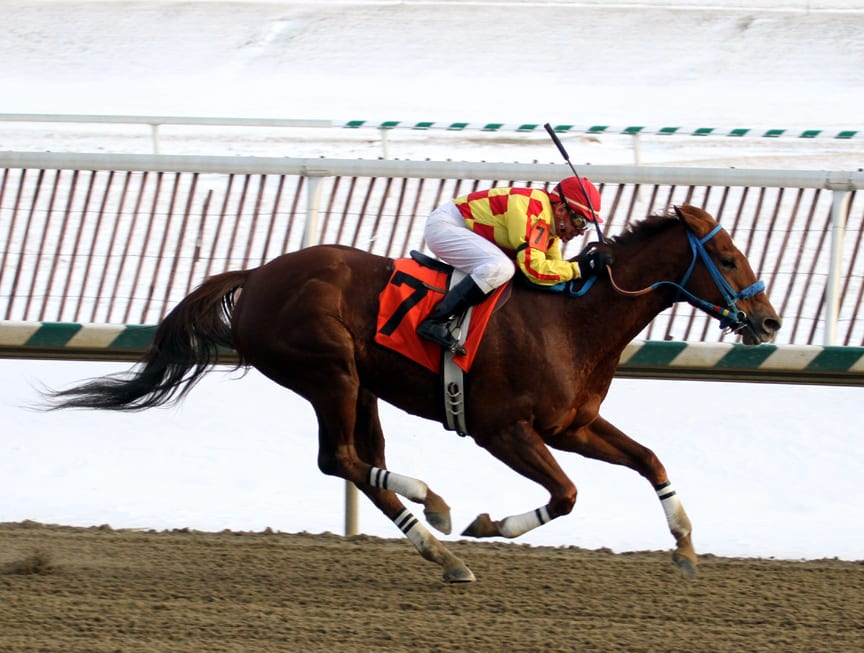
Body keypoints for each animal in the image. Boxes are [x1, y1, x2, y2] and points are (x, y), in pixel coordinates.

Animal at [47, 204, 784, 580]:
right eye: (726, 257)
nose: (769, 320)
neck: (573, 318)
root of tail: (257, 275)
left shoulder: (572, 423)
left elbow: (650, 459)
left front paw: (684, 546)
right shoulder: (502, 428)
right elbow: (569, 493)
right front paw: (489, 523)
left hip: (361, 384)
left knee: (358, 462)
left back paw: (438, 546)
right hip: (329, 371)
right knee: (340, 458)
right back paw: (439, 506)